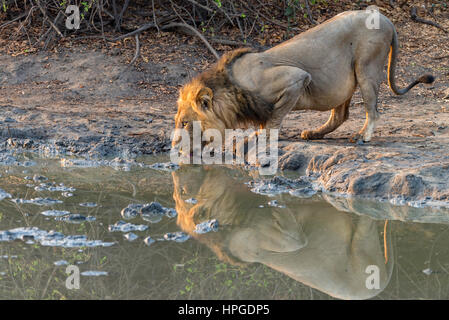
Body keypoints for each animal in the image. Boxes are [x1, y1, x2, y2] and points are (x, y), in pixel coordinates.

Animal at [173, 9, 432, 145]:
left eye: (184, 123)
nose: (174, 145)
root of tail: (383, 17)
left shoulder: (295, 79)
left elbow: (274, 117)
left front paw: (263, 135)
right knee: (340, 115)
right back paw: (314, 133)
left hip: (367, 67)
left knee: (373, 110)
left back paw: (362, 136)